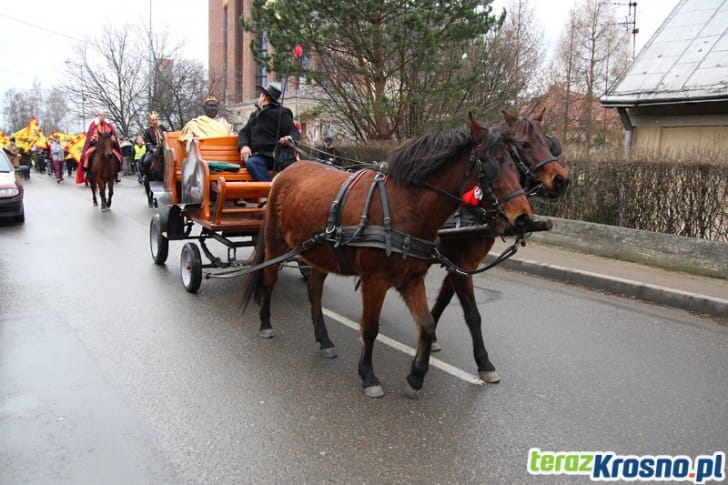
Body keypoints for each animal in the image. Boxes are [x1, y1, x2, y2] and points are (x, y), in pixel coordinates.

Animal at [242, 114, 532, 398]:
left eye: (516, 165)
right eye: (492, 166)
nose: (523, 218)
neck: (404, 205)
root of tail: (285, 172)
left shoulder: (412, 279)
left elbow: (427, 326)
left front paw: (416, 376)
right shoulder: (375, 281)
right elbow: (370, 328)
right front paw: (368, 376)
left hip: (319, 253)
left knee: (314, 292)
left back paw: (324, 340)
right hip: (276, 244)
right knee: (269, 280)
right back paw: (265, 322)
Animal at [430, 109, 572, 382]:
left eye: (550, 143)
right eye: (525, 144)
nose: (561, 180)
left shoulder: (461, 264)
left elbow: (443, 300)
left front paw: (429, 335)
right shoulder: (458, 262)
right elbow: (472, 313)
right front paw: (484, 362)